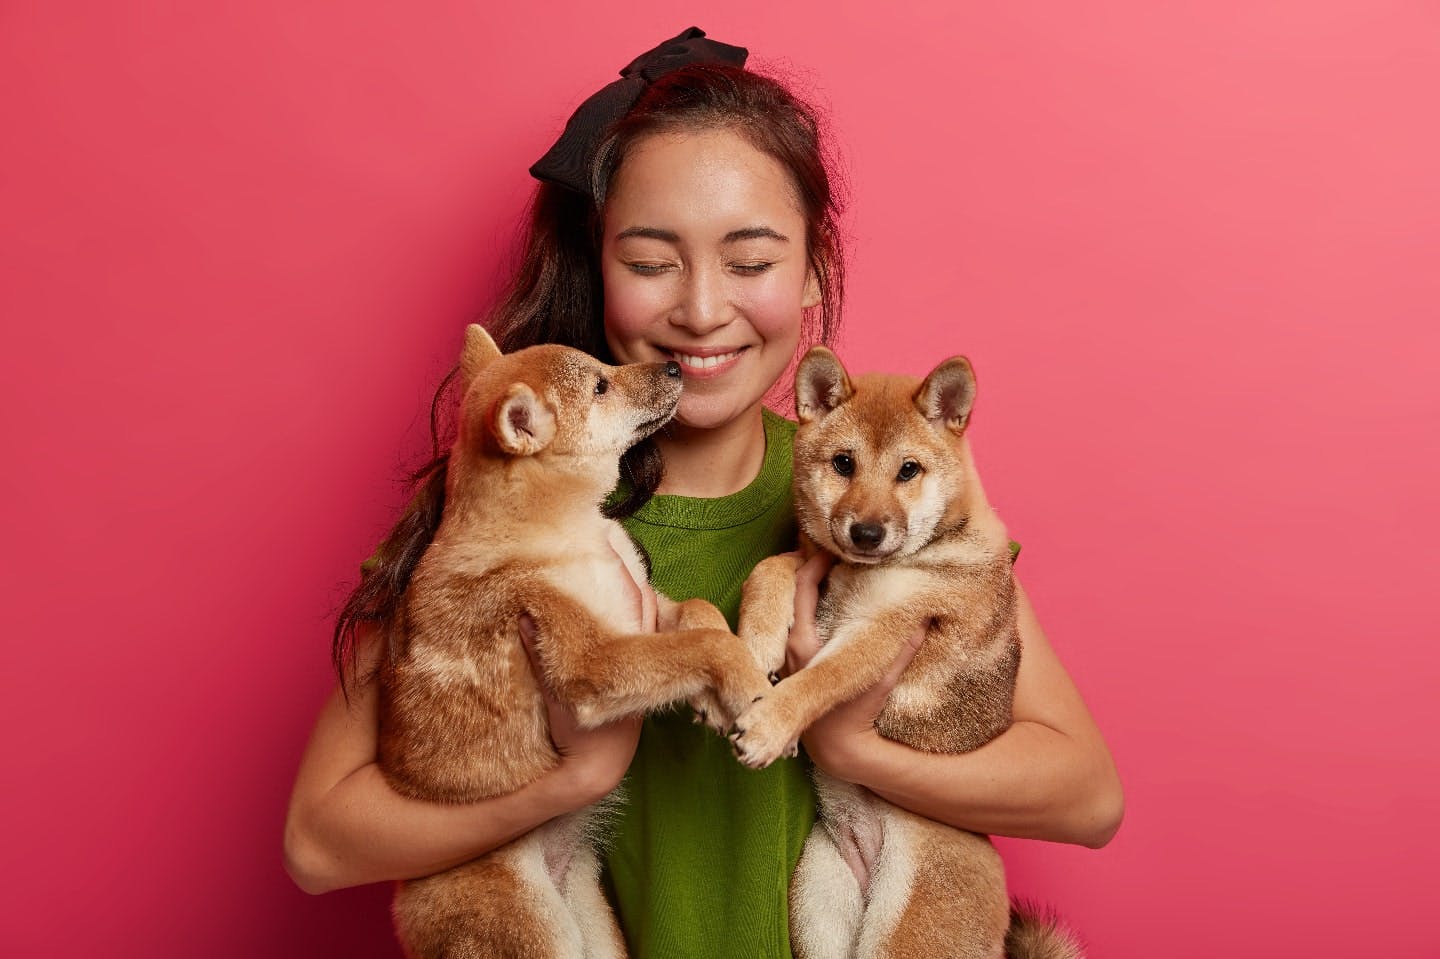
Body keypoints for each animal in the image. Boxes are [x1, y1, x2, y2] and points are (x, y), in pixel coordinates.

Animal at [377, 326, 771, 956]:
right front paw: (748, 686)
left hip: (594, 924)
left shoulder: (645, 610)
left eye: (603, 368)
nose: (674, 369)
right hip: (535, 929)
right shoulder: (592, 659)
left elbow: (700, 618)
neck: (574, 531)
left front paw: (716, 695)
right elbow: (703, 648)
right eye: (601, 385)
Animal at [737, 345, 1077, 956]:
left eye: (909, 470)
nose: (866, 533)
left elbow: (820, 678)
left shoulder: (886, 630)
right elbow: (770, 567)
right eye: (843, 463)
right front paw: (756, 641)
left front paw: (773, 722)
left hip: (905, 929)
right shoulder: (814, 567)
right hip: (818, 900)